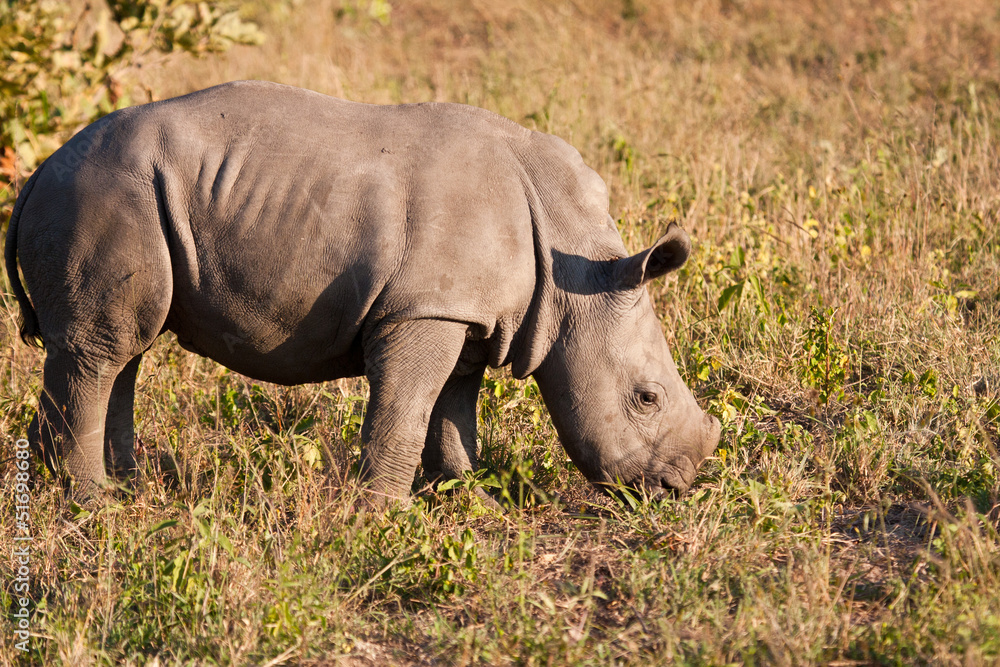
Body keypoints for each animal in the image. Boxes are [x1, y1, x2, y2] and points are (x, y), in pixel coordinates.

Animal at [5, 80, 719, 502]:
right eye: (646, 399)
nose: (676, 484)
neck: (577, 268)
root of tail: (39, 170)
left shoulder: (462, 311)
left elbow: (454, 410)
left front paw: (469, 497)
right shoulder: (425, 309)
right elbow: (407, 408)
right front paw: (384, 513)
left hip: (118, 195)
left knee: (122, 347)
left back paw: (121, 491)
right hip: (103, 194)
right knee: (103, 349)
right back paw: (94, 504)